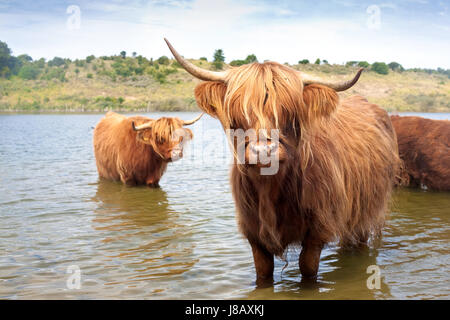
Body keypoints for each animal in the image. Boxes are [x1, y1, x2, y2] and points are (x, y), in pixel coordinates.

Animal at [165, 38, 400, 284]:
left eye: (290, 114)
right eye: (237, 115)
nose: (263, 150)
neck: (270, 187)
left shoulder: (318, 231)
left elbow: (308, 270)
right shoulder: (254, 235)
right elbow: (263, 274)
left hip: (367, 210)